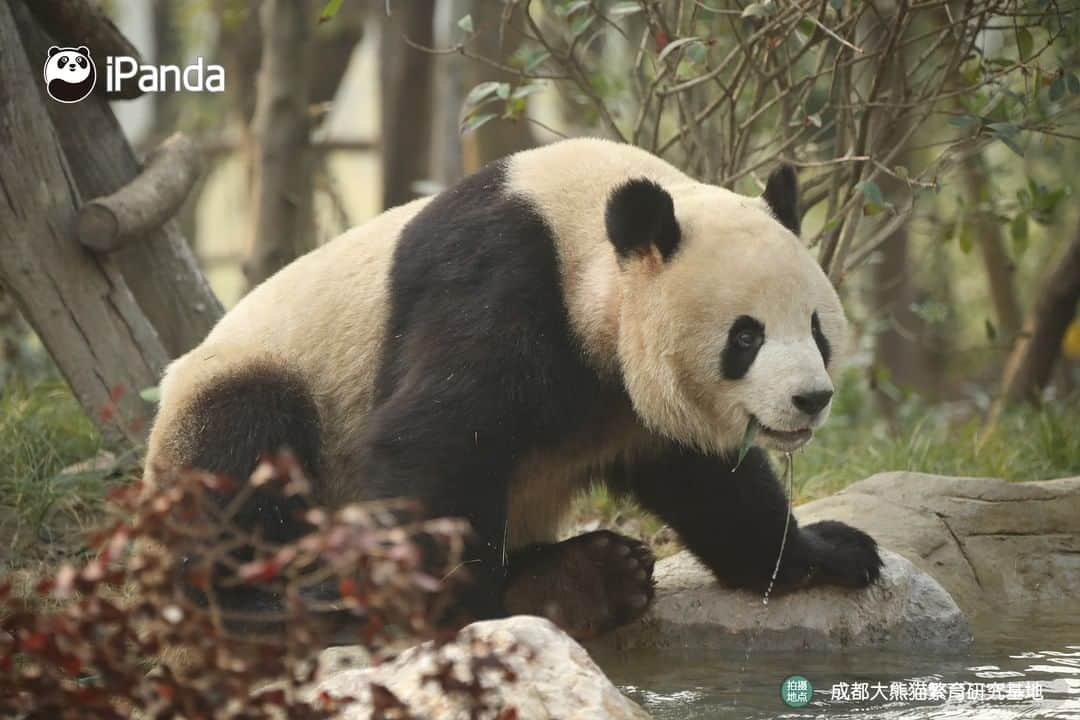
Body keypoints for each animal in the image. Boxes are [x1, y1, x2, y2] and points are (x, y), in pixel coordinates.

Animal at [143, 138, 881, 634]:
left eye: (816, 327)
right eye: (746, 336)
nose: (810, 399)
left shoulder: (632, 398)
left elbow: (711, 481)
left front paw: (830, 552)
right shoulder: (497, 274)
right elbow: (439, 438)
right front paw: (451, 615)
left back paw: (586, 579)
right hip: (259, 388)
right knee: (244, 445)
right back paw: (257, 598)